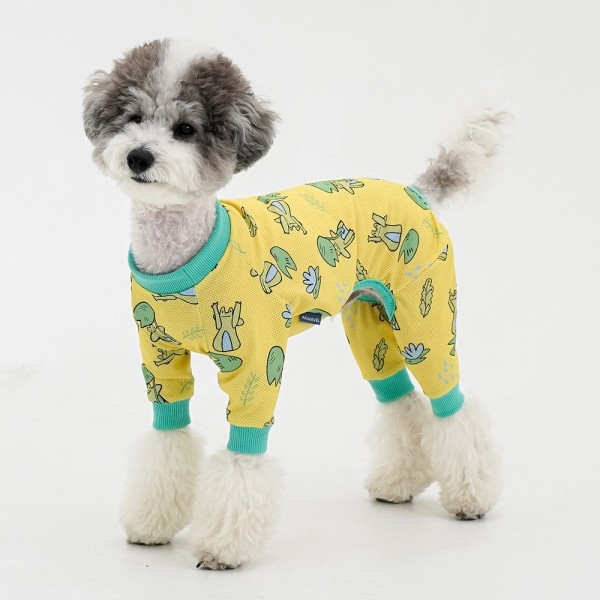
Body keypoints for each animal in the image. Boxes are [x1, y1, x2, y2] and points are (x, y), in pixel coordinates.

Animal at [83, 38, 505, 570]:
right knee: (400, 401)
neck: (181, 257)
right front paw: (152, 524)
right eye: (132, 116)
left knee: (451, 405)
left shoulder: (257, 363)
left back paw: (472, 497)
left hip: (425, 321)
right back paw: (397, 483)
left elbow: (244, 455)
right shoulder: (160, 364)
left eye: (185, 129)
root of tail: (416, 191)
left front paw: (223, 547)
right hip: (370, 329)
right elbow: (169, 438)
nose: (139, 156)